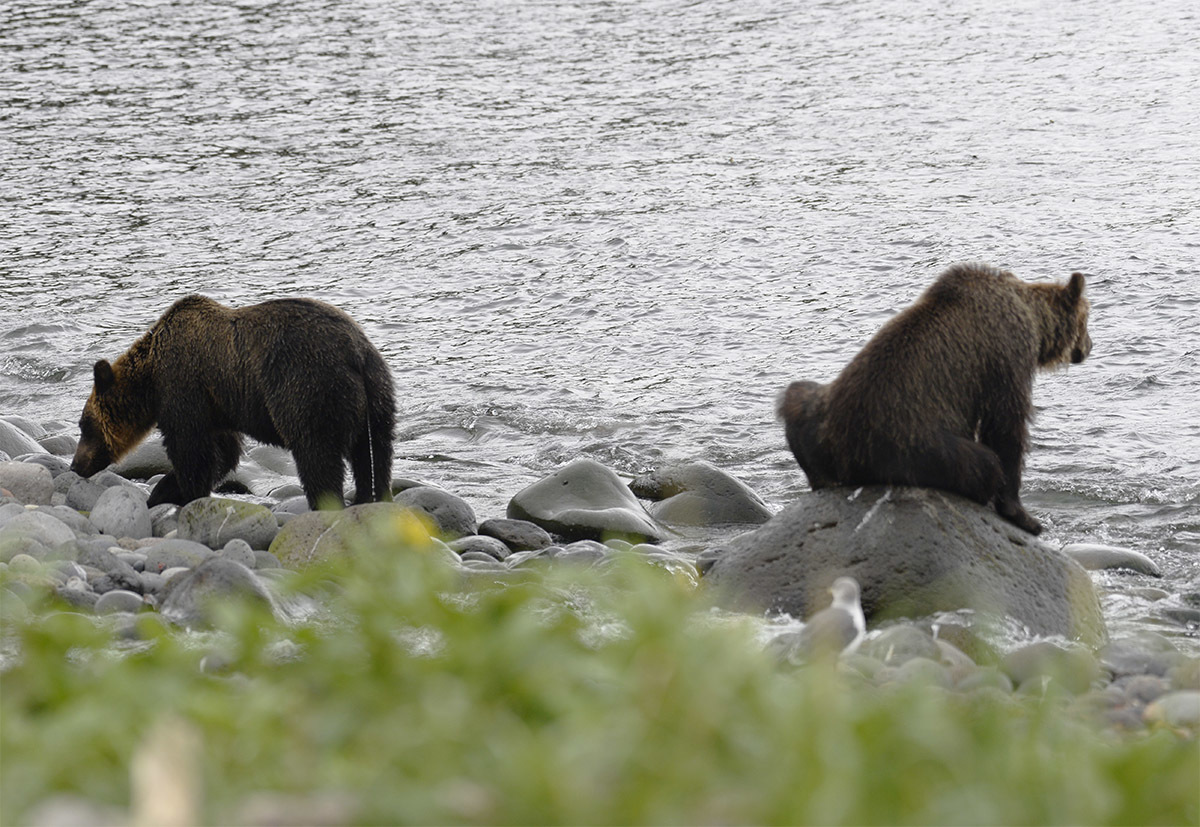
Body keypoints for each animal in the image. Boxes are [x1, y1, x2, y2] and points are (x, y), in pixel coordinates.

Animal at [70, 294, 396, 506]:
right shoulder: (217, 405)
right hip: (378, 395)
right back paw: (370, 499)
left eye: (85, 425)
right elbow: (222, 453)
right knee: (375, 455)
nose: (74, 465)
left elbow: (192, 450)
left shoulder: (184, 386)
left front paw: (186, 492)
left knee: (317, 453)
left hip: (310, 387)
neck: (151, 381)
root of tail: (356, 353)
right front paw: (166, 490)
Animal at [782, 262, 1094, 535]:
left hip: (823, 410)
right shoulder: (1005, 357)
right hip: (916, 445)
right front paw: (1024, 516)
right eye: (1087, 319)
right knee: (982, 462)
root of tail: (843, 455)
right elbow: (1006, 427)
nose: (1090, 346)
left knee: (796, 396)